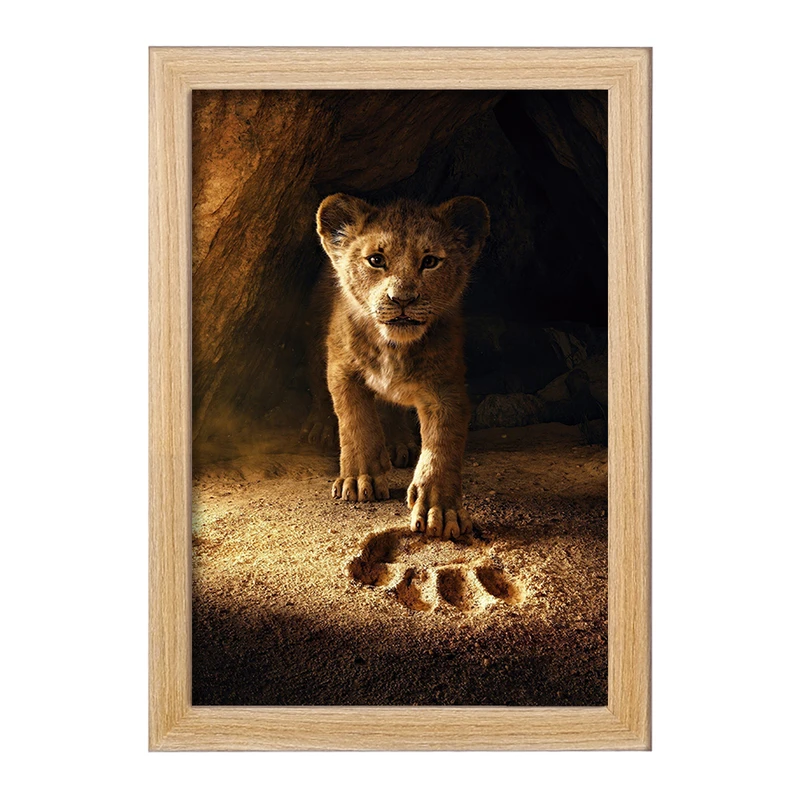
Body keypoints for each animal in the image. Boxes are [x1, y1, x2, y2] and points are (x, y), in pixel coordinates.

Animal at [315, 193, 490, 539]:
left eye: (430, 261)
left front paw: (440, 509)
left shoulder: (446, 387)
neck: (393, 347)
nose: (402, 299)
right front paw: (360, 479)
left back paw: (399, 445)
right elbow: (356, 421)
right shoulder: (342, 368)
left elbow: (442, 444)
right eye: (376, 260)